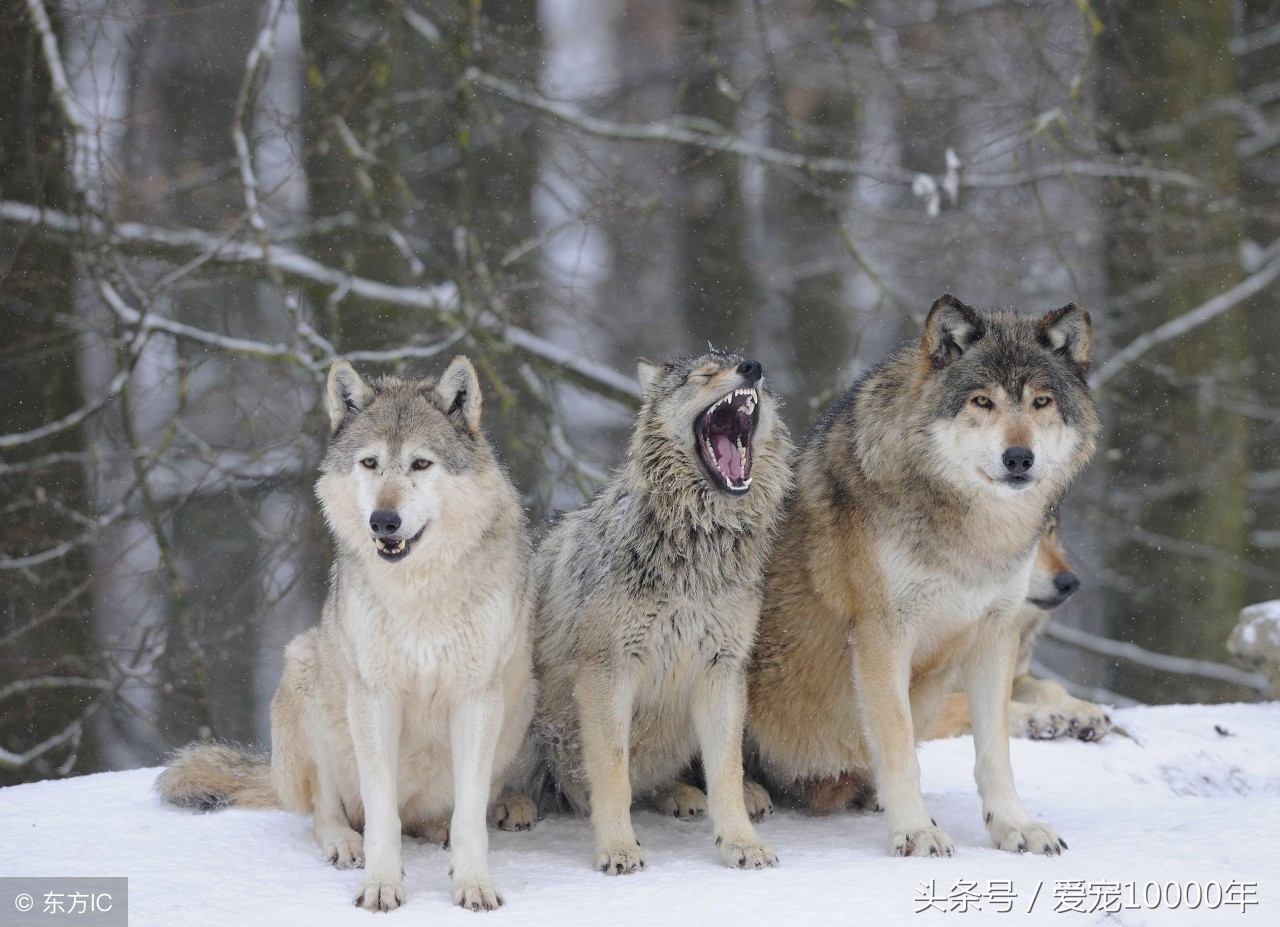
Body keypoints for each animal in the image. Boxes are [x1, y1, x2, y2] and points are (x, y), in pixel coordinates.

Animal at [157, 355, 537, 911]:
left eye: (421, 464)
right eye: (370, 463)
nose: (384, 520)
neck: (419, 593)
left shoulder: (476, 697)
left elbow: (470, 820)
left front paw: (473, 886)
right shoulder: (374, 697)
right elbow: (380, 817)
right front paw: (381, 886)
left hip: (521, 702)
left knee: (439, 817)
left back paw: (448, 827)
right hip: (308, 671)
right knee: (327, 809)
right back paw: (344, 844)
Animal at [519, 350, 788, 870]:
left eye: (745, 365)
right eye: (704, 375)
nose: (753, 367)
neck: (698, 546)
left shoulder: (722, 667)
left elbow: (725, 769)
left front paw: (741, 843)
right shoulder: (608, 670)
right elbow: (612, 773)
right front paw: (618, 848)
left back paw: (691, 795)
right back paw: (511, 806)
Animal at [921, 517, 1111, 742]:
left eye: (1050, 530)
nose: (1070, 582)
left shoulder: (1015, 676)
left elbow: (1049, 685)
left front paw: (1084, 709)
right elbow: (969, 702)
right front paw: (1037, 715)